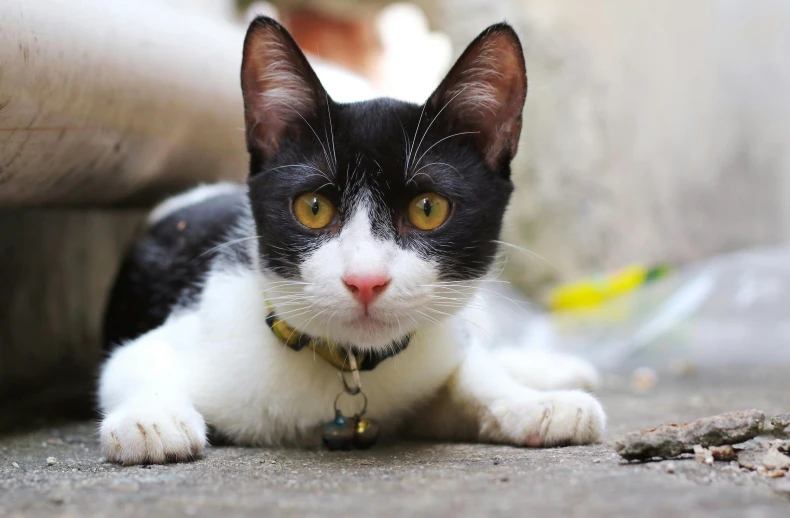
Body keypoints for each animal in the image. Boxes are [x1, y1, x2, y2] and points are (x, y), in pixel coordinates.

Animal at [99, 17, 608, 468]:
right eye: (313, 208)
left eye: (428, 209)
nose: (366, 280)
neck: (348, 364)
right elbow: (128, 364)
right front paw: (150, 420)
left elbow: (469, 371)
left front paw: (532, 404)